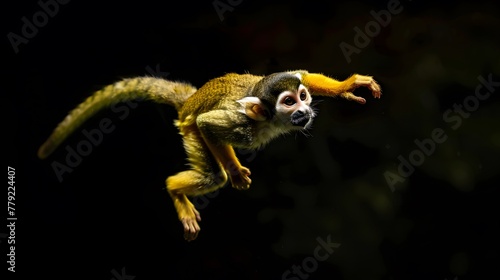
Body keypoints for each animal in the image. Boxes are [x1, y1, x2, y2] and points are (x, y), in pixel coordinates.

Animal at [39, 70, 380, 241]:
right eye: (288, 102)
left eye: (303, 96)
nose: (304, 110)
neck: (269, 120)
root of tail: (189, 101)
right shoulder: (243, 127)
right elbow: (210, 125)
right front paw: (236, 170)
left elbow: (304, 74)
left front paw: (346, 86)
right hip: (189, 131)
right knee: (211, 167)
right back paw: (176, 191)